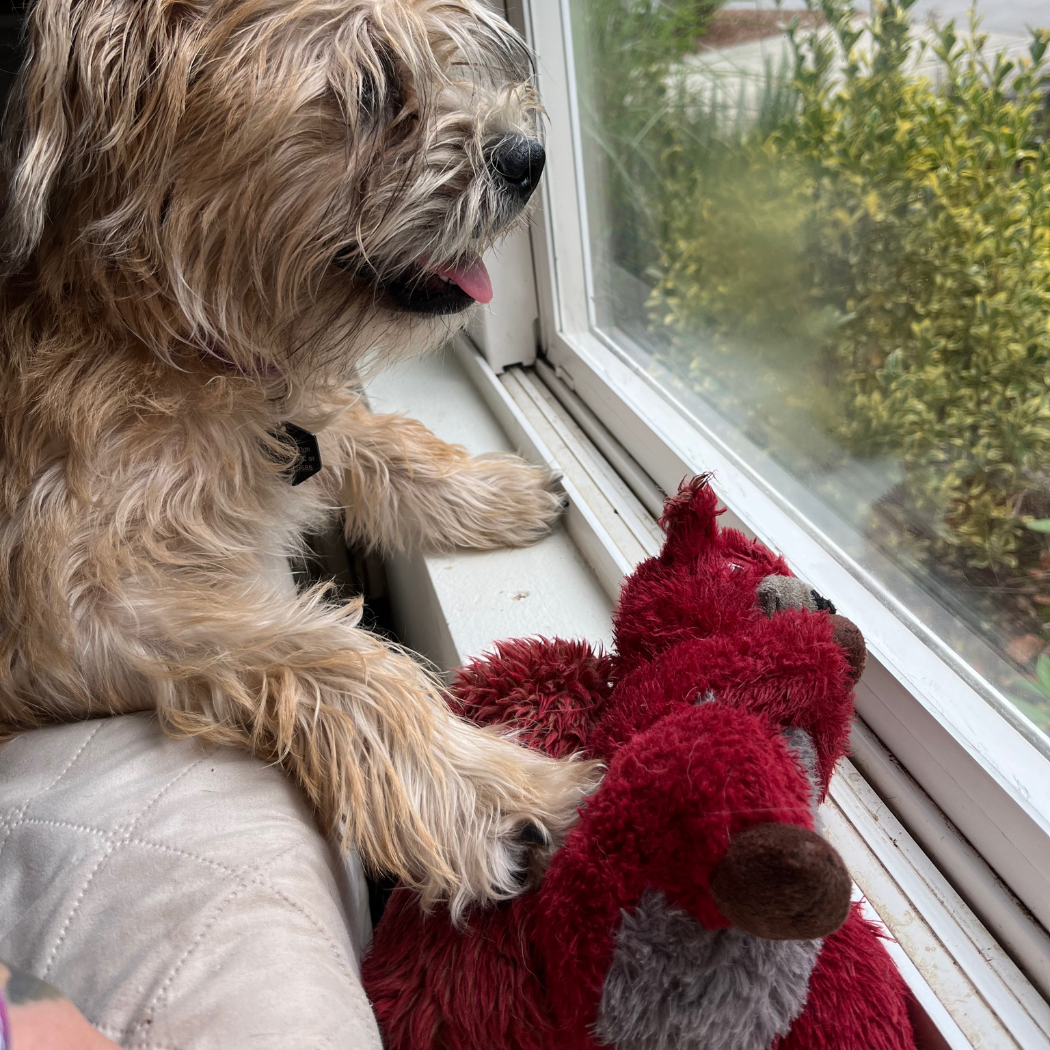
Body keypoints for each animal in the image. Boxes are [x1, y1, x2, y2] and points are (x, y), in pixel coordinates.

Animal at [0, 0, 600, 919]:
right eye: (372, 86)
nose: (528, 158)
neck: (163, 338)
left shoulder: (296, 425)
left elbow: (372, 439)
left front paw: (489, 489)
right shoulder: (61, 619)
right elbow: (330, 653)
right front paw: (485, 793)